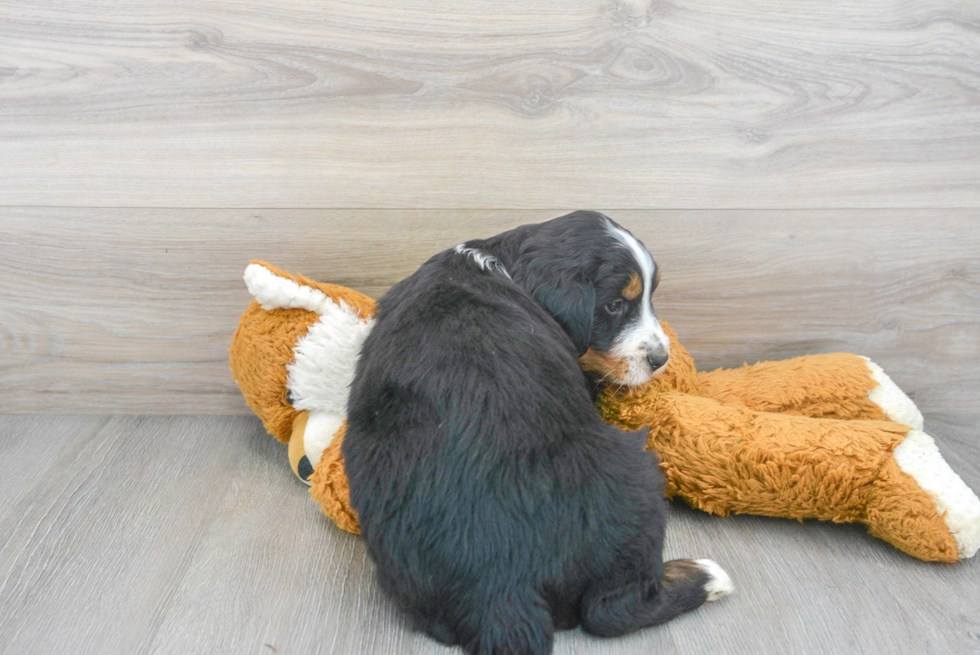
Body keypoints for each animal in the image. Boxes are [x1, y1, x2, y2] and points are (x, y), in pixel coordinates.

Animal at [344, 211, 736, 655]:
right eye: (614, 305)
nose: (660, 358)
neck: (502, 267)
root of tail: (499, 590)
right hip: (637, 476)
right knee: (612, 610)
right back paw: (706, 576)